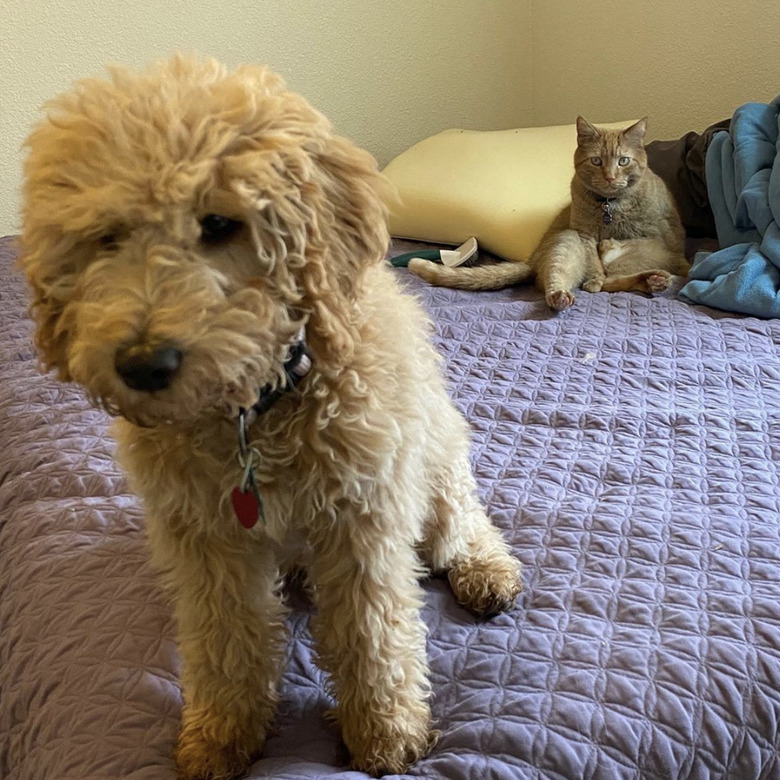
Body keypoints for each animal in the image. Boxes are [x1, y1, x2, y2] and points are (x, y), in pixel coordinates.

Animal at [18, 59, 520, 780]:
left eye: (219, 224)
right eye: (106, 236)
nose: (143, 365)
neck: (256, 414)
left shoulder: (364, 515)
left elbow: (373, 631)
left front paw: (386, 732)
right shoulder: (203, 537)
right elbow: (226, 638)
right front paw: (222, 734)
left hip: (433, 448)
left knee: (459, 520)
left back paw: (486, 570)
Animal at [408, 116, 688, 310]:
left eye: (623, 161)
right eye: (596, 161)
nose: (609, 177)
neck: (610, 206)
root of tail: (533, 259)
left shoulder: (659, 235)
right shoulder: (584, 235)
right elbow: (596, 267)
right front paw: (597, 272)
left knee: (618, 278)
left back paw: (653, 280)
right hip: (567, 243)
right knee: (562, 280)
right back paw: (562, 295)